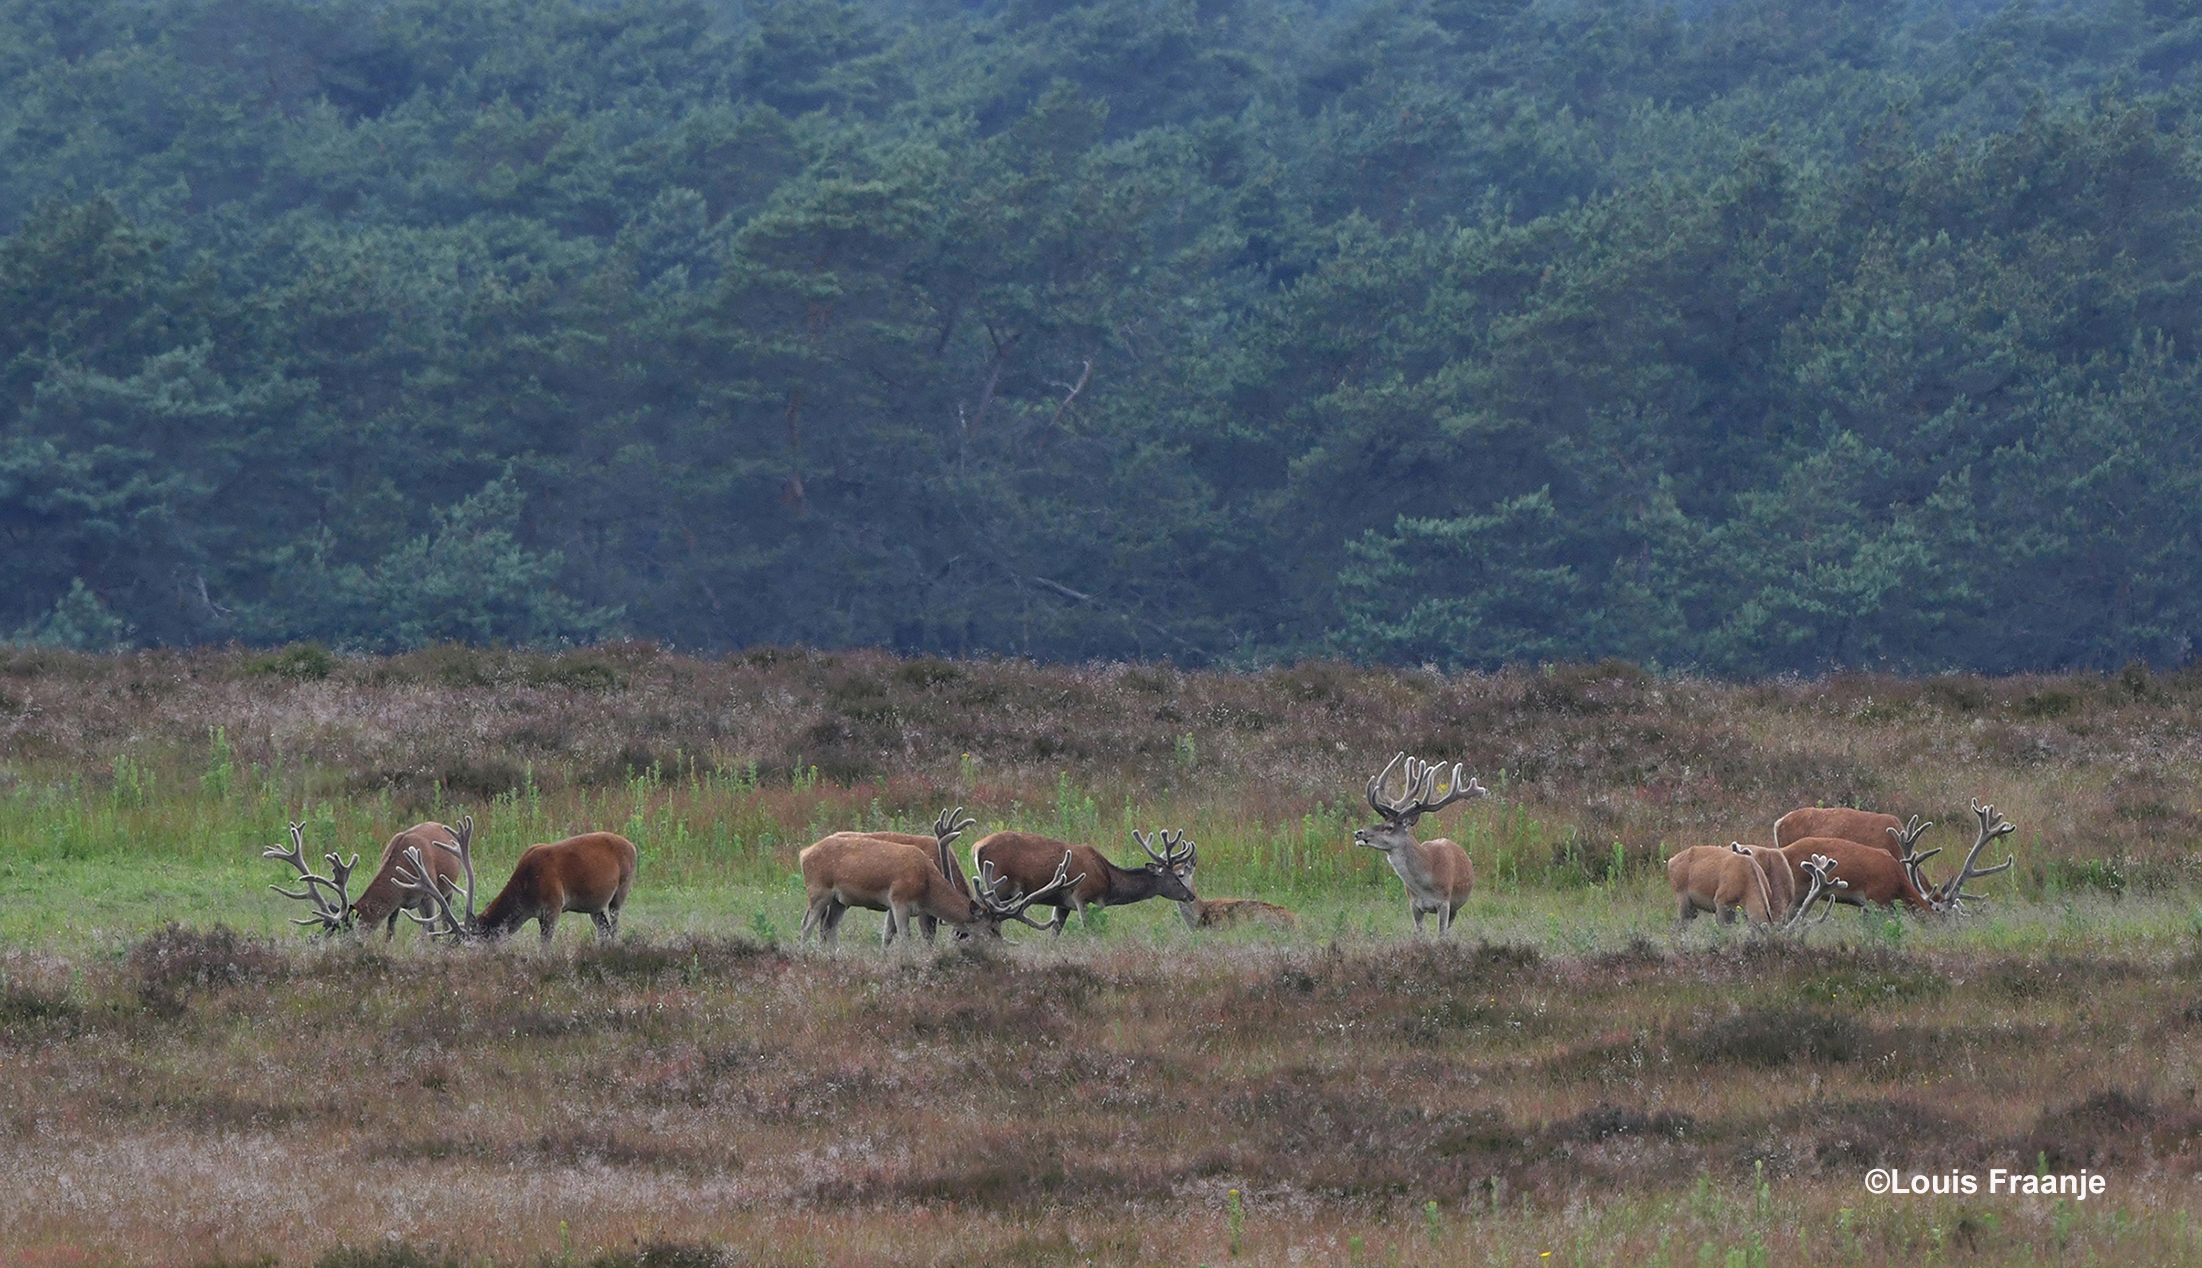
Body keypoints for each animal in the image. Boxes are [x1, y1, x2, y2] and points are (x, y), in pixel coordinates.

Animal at [968, 827, 1197, 937]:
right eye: (1177, 879)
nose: (1191, 895)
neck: (1109, 881)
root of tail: (976, 847)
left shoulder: (1062, 904)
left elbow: (1054, 932)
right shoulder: (1084, 895)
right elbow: (1089, 928)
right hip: (999, 884)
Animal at [1347, 752, 1488, 933]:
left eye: (1389, 827)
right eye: (1382, 821)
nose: (1358, 833)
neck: (1425, 883)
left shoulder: (1445, 902)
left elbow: (1441, 934)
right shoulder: (1414, 905)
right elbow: (1419, 933)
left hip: (1456, 906)